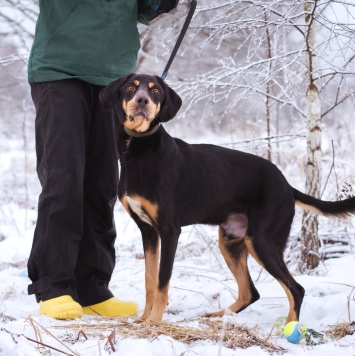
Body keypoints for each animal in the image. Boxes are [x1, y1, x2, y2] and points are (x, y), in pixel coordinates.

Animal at [98, 73, 355, 324]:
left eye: (155, 90)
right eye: (131, 87)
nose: (142, 101)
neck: (140, 148)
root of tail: (287, 186)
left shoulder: (170, 230)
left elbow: (162, 281)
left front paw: (153, 322)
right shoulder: (149, 232)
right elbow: (150, 279)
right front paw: (143, 319)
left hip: (262, 240)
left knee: (296, 289)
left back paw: (289, 328)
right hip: (231, 242)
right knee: (250, 292)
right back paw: (218, 315)